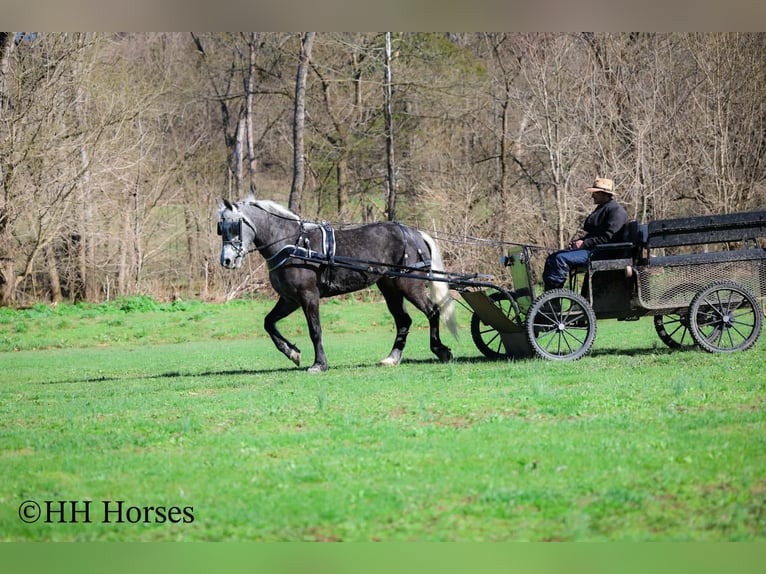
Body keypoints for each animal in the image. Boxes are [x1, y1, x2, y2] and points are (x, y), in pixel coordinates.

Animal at [217, 197, 458, 372]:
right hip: (390, 288)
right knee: (404, 320)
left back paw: (441, 350)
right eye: (221, 228)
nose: (226, 260)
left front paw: (319, 364)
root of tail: (414, 233)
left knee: (432, 311)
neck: (292, 243)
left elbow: (315, 330)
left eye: (234, 226)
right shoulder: (290, 299)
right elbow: (269, 323)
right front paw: (292, 352)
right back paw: (392, 358)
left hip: (409, 285)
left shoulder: (308, 295)